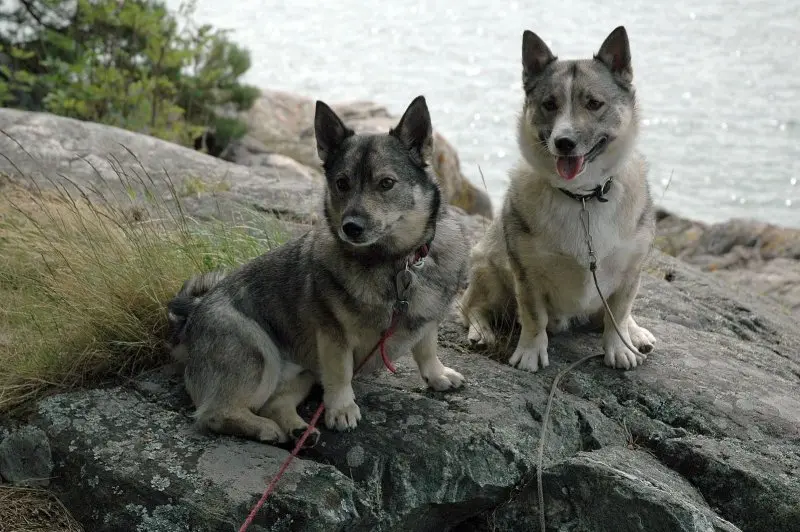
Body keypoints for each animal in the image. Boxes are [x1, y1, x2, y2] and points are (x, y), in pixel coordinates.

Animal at [167, 96, 468, 444]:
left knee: (274, 403)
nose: (350, 227)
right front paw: (341, 409)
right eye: (341, 183)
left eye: (386, 183)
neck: (394, 262)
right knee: (214, 413)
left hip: (303, 374)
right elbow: (340, 375)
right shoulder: (332, 335)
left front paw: (437, 374)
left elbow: (426, 347)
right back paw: (266, 429)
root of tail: (190, 314)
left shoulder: (426, 319)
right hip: (258, 352)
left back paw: (299, 429)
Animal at [460, 27, 652, 372]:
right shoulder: (526, 273)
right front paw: (530, 352)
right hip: (489, 267)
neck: (582, 197)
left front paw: (619, 346)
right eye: (549, 104)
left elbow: (618, 313)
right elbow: (534, 316)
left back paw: (636, 332)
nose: (564, 142)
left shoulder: (629, 271)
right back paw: (481, 331)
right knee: (470, 306)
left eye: (594, 103)